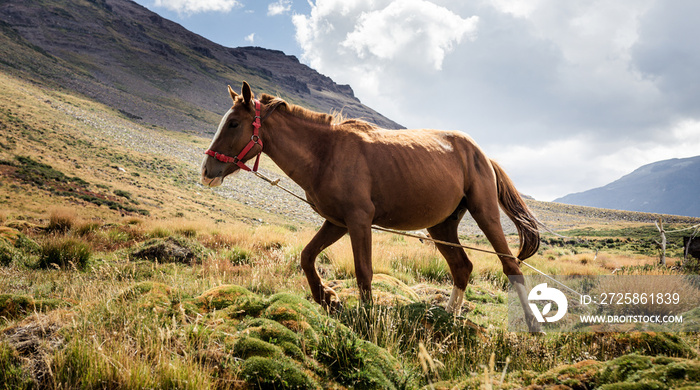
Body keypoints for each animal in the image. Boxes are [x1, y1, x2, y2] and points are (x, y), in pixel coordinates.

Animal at [201, 81, 540, 330]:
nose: (206, 170)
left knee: (510, 266)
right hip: (441, 226)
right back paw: (448, 319)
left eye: (233, 124)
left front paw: (364, 319)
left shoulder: (359, 221)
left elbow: (363, 271)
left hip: (485, 213)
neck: (326, 153)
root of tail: (483, 156)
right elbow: (307, 256)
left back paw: (531, 326)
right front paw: (328, 298)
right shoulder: (336, 222)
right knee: (462, 267)